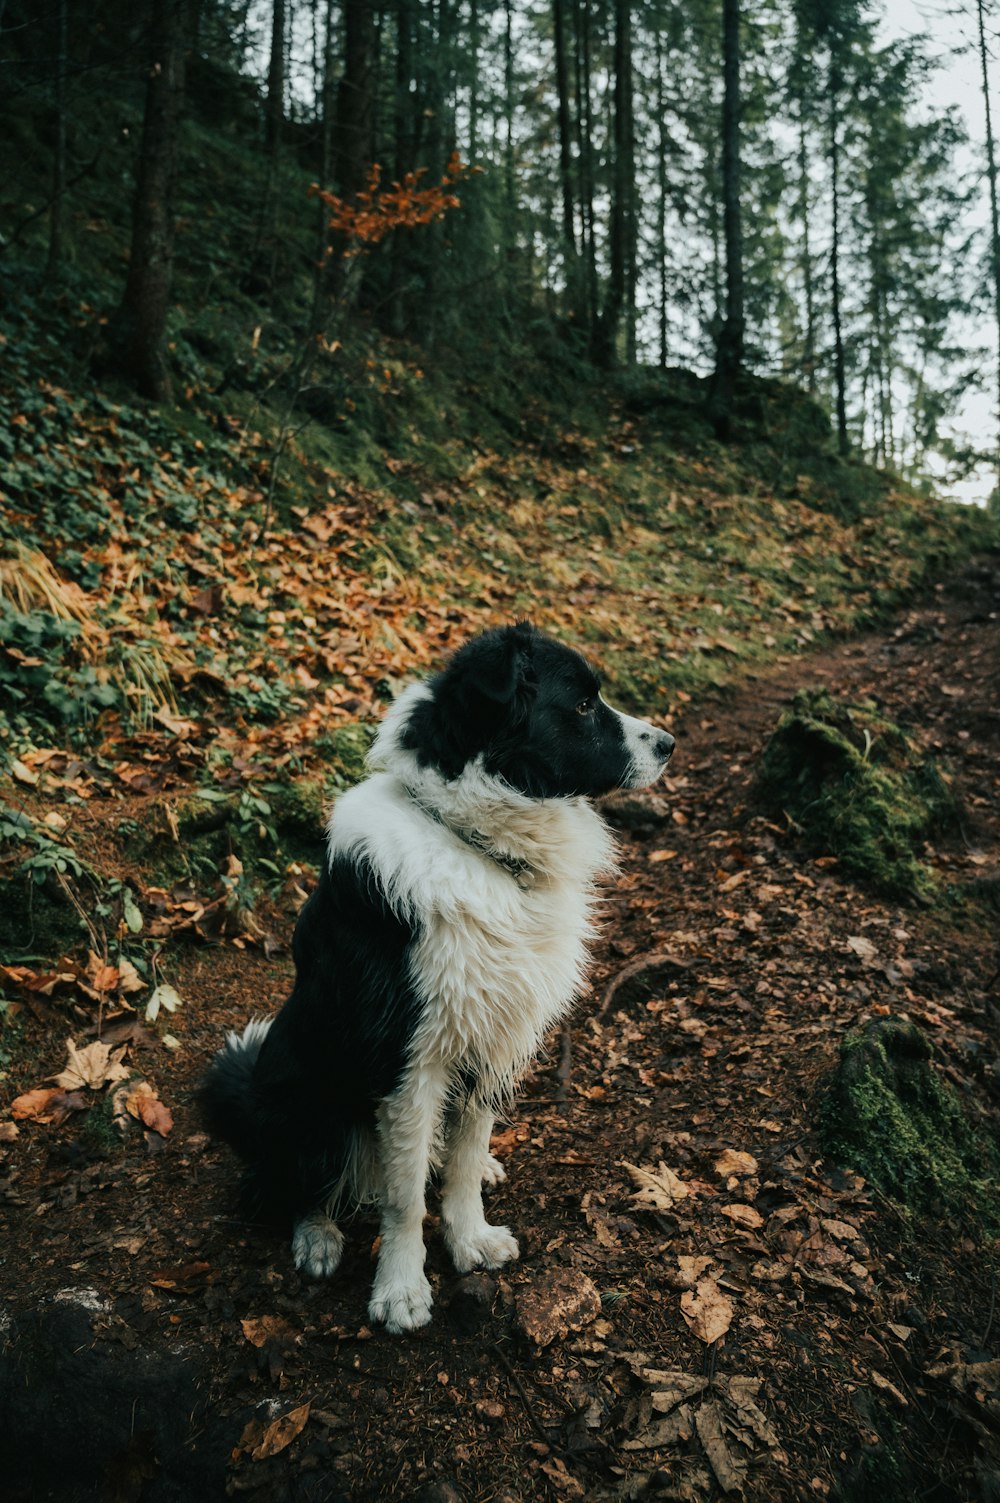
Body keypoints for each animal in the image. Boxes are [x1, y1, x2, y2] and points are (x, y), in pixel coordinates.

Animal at [200, 628, 673, 1334]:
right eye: (585, 705)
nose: (669, 744)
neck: (477, 844)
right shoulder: (408, 1059)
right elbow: (403, 1199)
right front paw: (401, 1289)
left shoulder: (494, 1033)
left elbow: (466, 1160)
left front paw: (469, 1236)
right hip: (305, 1100)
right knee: (290, 1184)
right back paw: (318, 1236)